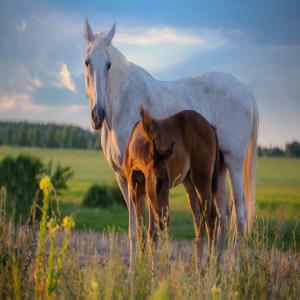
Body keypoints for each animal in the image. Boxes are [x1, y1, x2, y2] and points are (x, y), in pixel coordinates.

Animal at [83, 19, 258, 262]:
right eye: (87, 62)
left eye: (108, 65)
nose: (97, 115)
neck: (123, 103)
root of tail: (243, 89)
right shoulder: (124, 178)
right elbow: (135, 228)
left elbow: (145, 228)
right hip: (218, 169)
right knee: (222, 215)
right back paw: (215, 266)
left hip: (234, 163)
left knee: (239, 215)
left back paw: (234, 267)